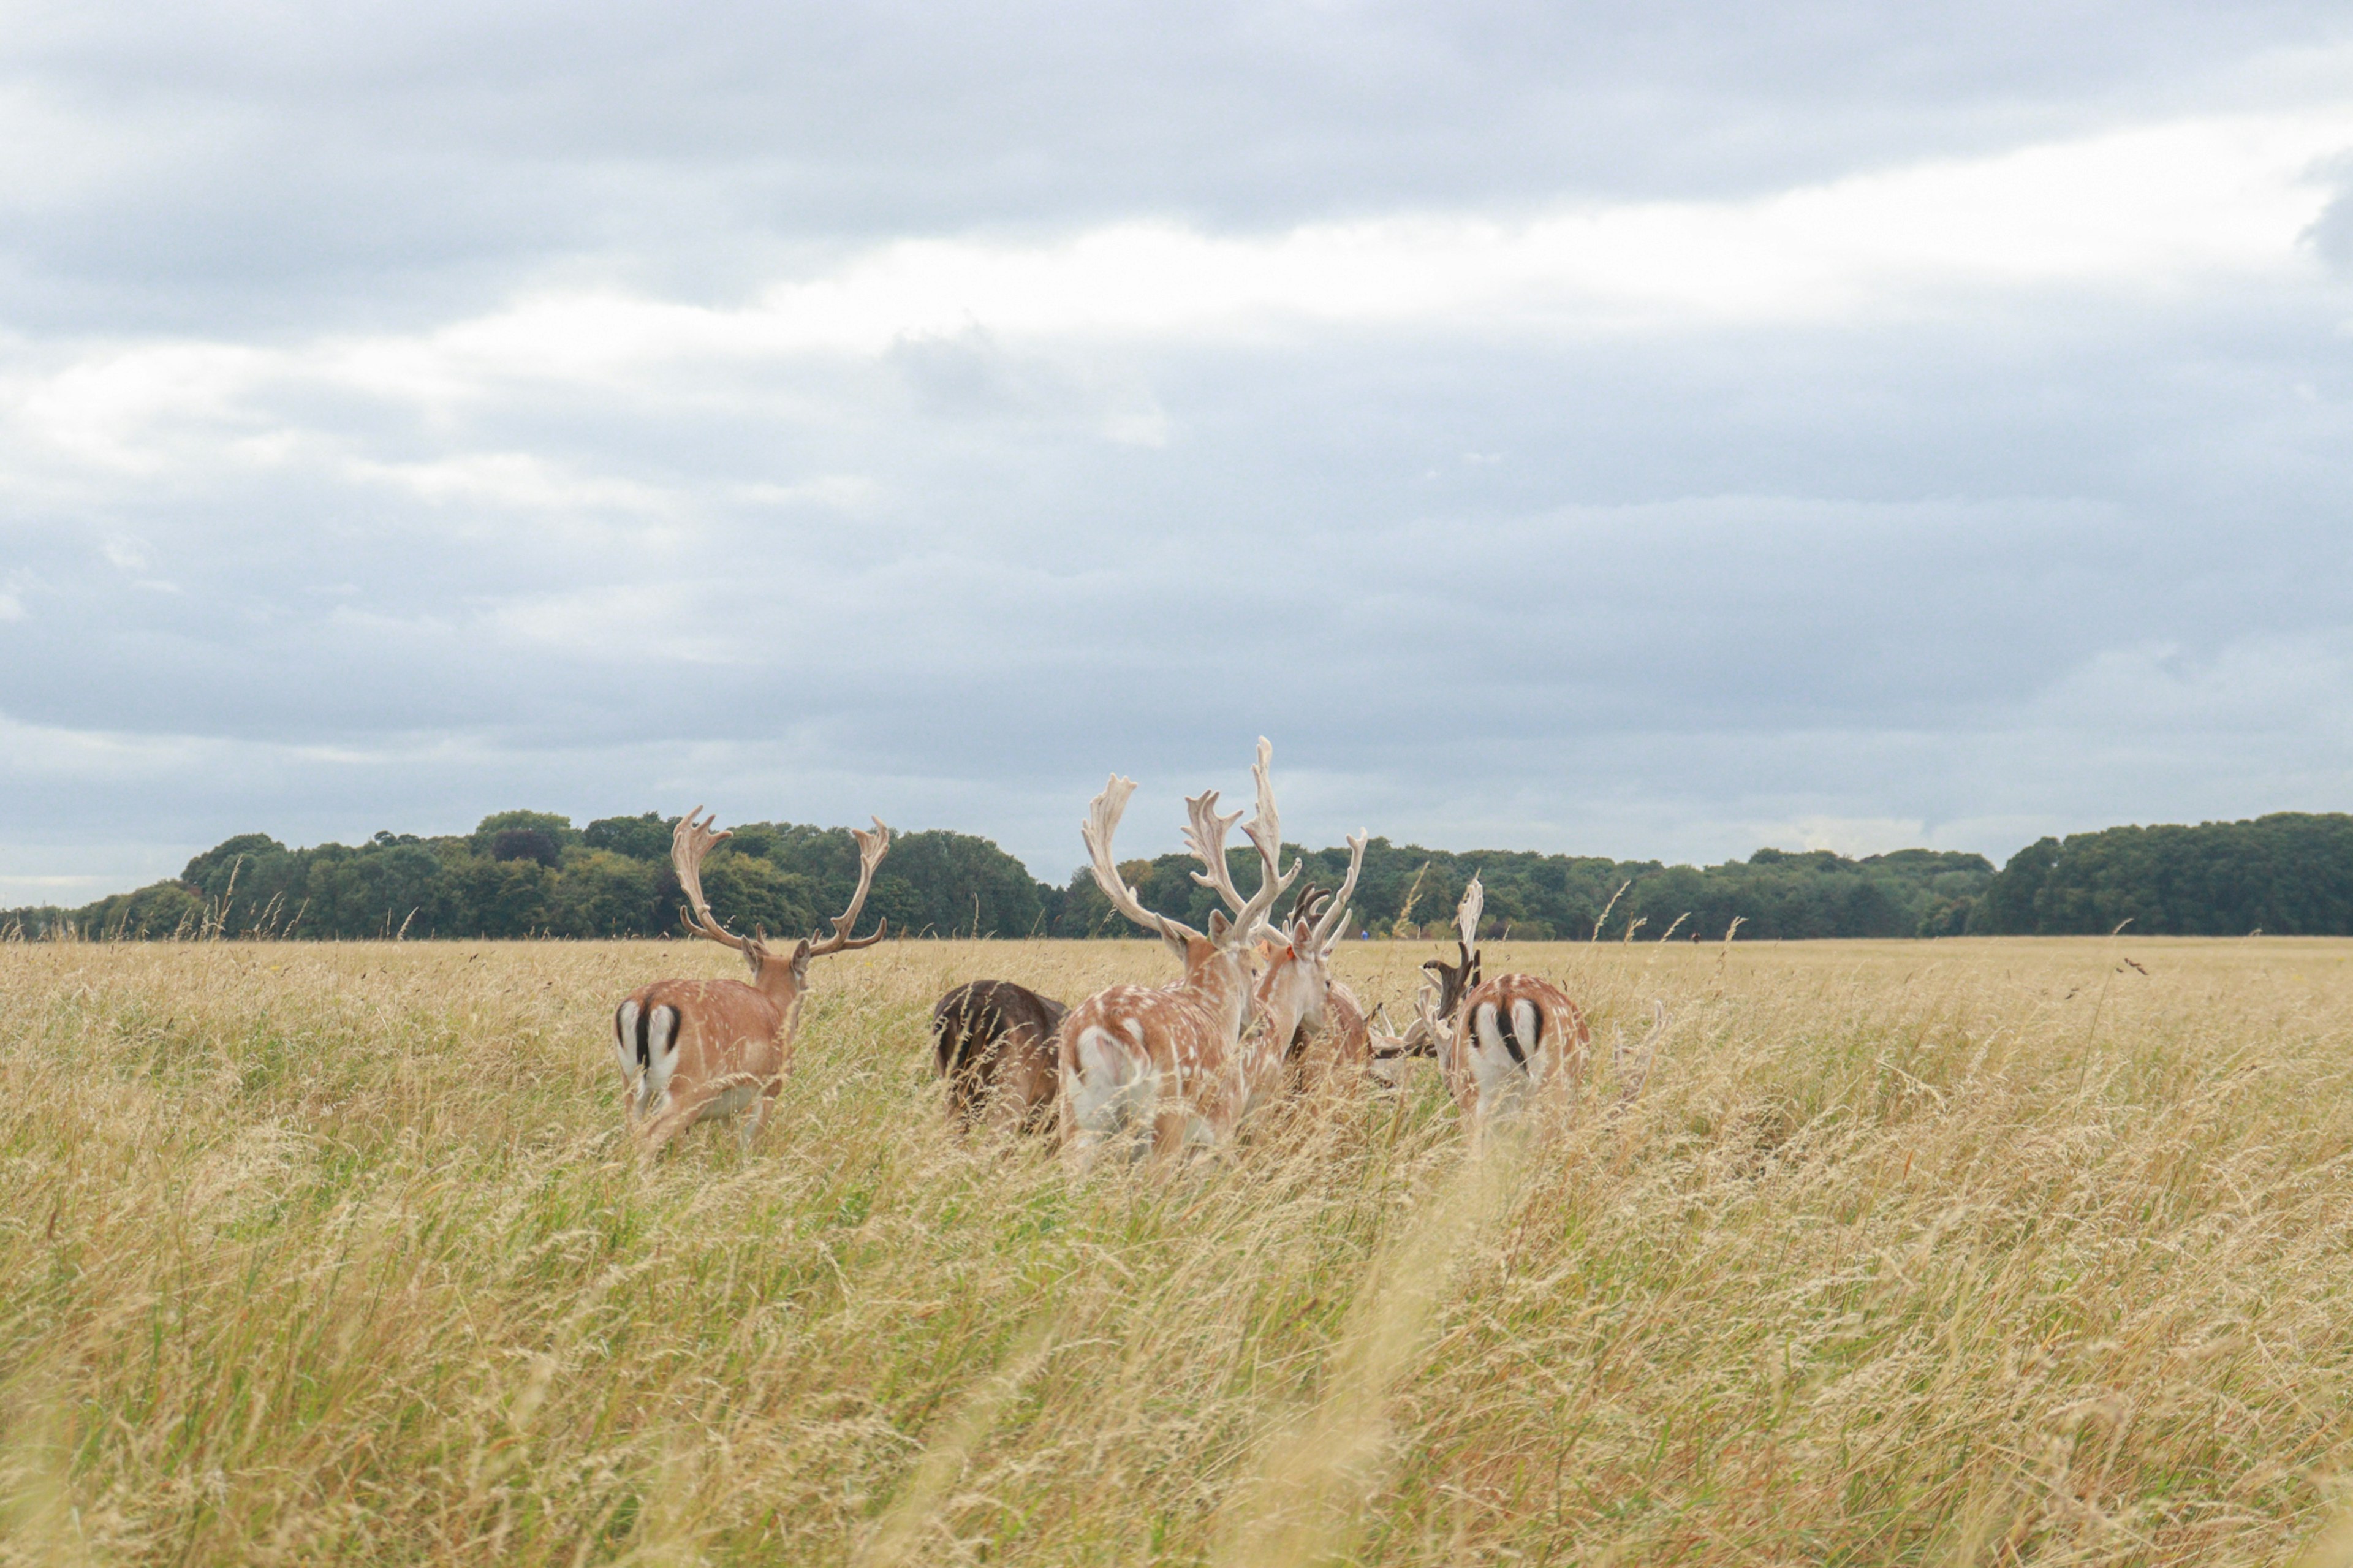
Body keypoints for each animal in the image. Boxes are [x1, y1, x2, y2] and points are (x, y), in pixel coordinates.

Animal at [607, 809, 889, 1153]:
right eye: (806, 986)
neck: (776, 1009)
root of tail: (649, 1003)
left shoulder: (728, 1110)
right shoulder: (768, 1088)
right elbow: (747, 1149)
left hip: (630, 1081)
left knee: (630, 1132)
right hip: (690, 1084)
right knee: (647, 1139)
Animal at [1063, 734, 1308, 1158]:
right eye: (1254, 969)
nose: (1261, 1024)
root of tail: (1110, 1022)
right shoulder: (1220, 1125)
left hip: (1077, 1117)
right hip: (1166, 1118)